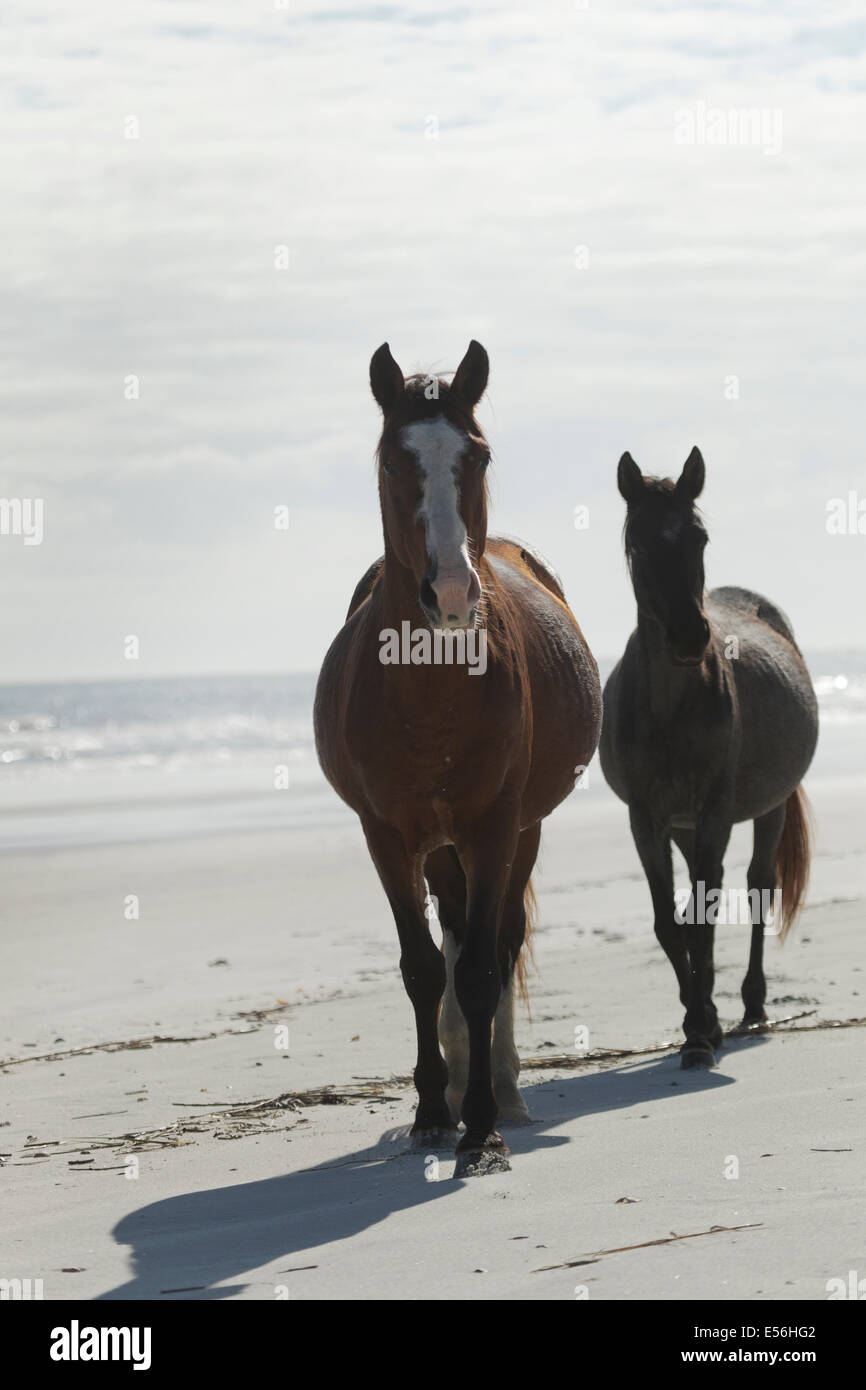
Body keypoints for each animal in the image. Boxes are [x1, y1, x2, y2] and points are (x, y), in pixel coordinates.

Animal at [314, 341, 602, 1174]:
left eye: (477, 455)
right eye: (392, 459)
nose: (448, 592)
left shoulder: (495, 826)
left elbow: (477, 970)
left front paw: (480, 1128)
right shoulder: (386, 836)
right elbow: (422, 968)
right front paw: (431, 1113)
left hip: (517, 834)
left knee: (499, 944)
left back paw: (501, 1085)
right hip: (440, 849)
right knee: (450, 936)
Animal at [600, 447, 818, 1068]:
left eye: (698, 538)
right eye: (639, 543)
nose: (688, 637)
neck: (671, 706)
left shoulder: (716, 810)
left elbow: (703, 917)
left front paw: (699, 1032)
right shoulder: (647, 818)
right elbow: (669, 923)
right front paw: (698, 1020)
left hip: (765, 809)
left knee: (757, 886)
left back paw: (751, 1004)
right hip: (683, 825)